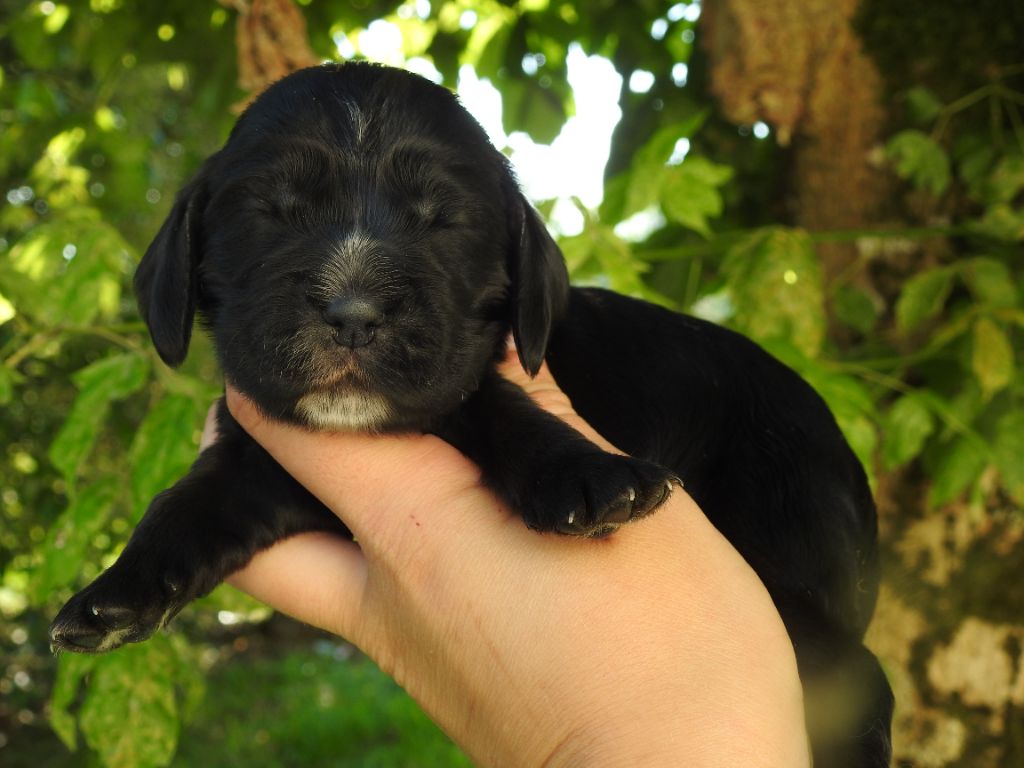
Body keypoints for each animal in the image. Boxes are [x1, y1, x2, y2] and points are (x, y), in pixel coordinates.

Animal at [51, 63, 892, 765]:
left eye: (442, 222)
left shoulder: (473, 379)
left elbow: (501, 406)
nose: (352, 311)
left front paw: (589, 475)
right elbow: (185, 502)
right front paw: (115, 594)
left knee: (857, 679)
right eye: (272, 213)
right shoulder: (258, 465)